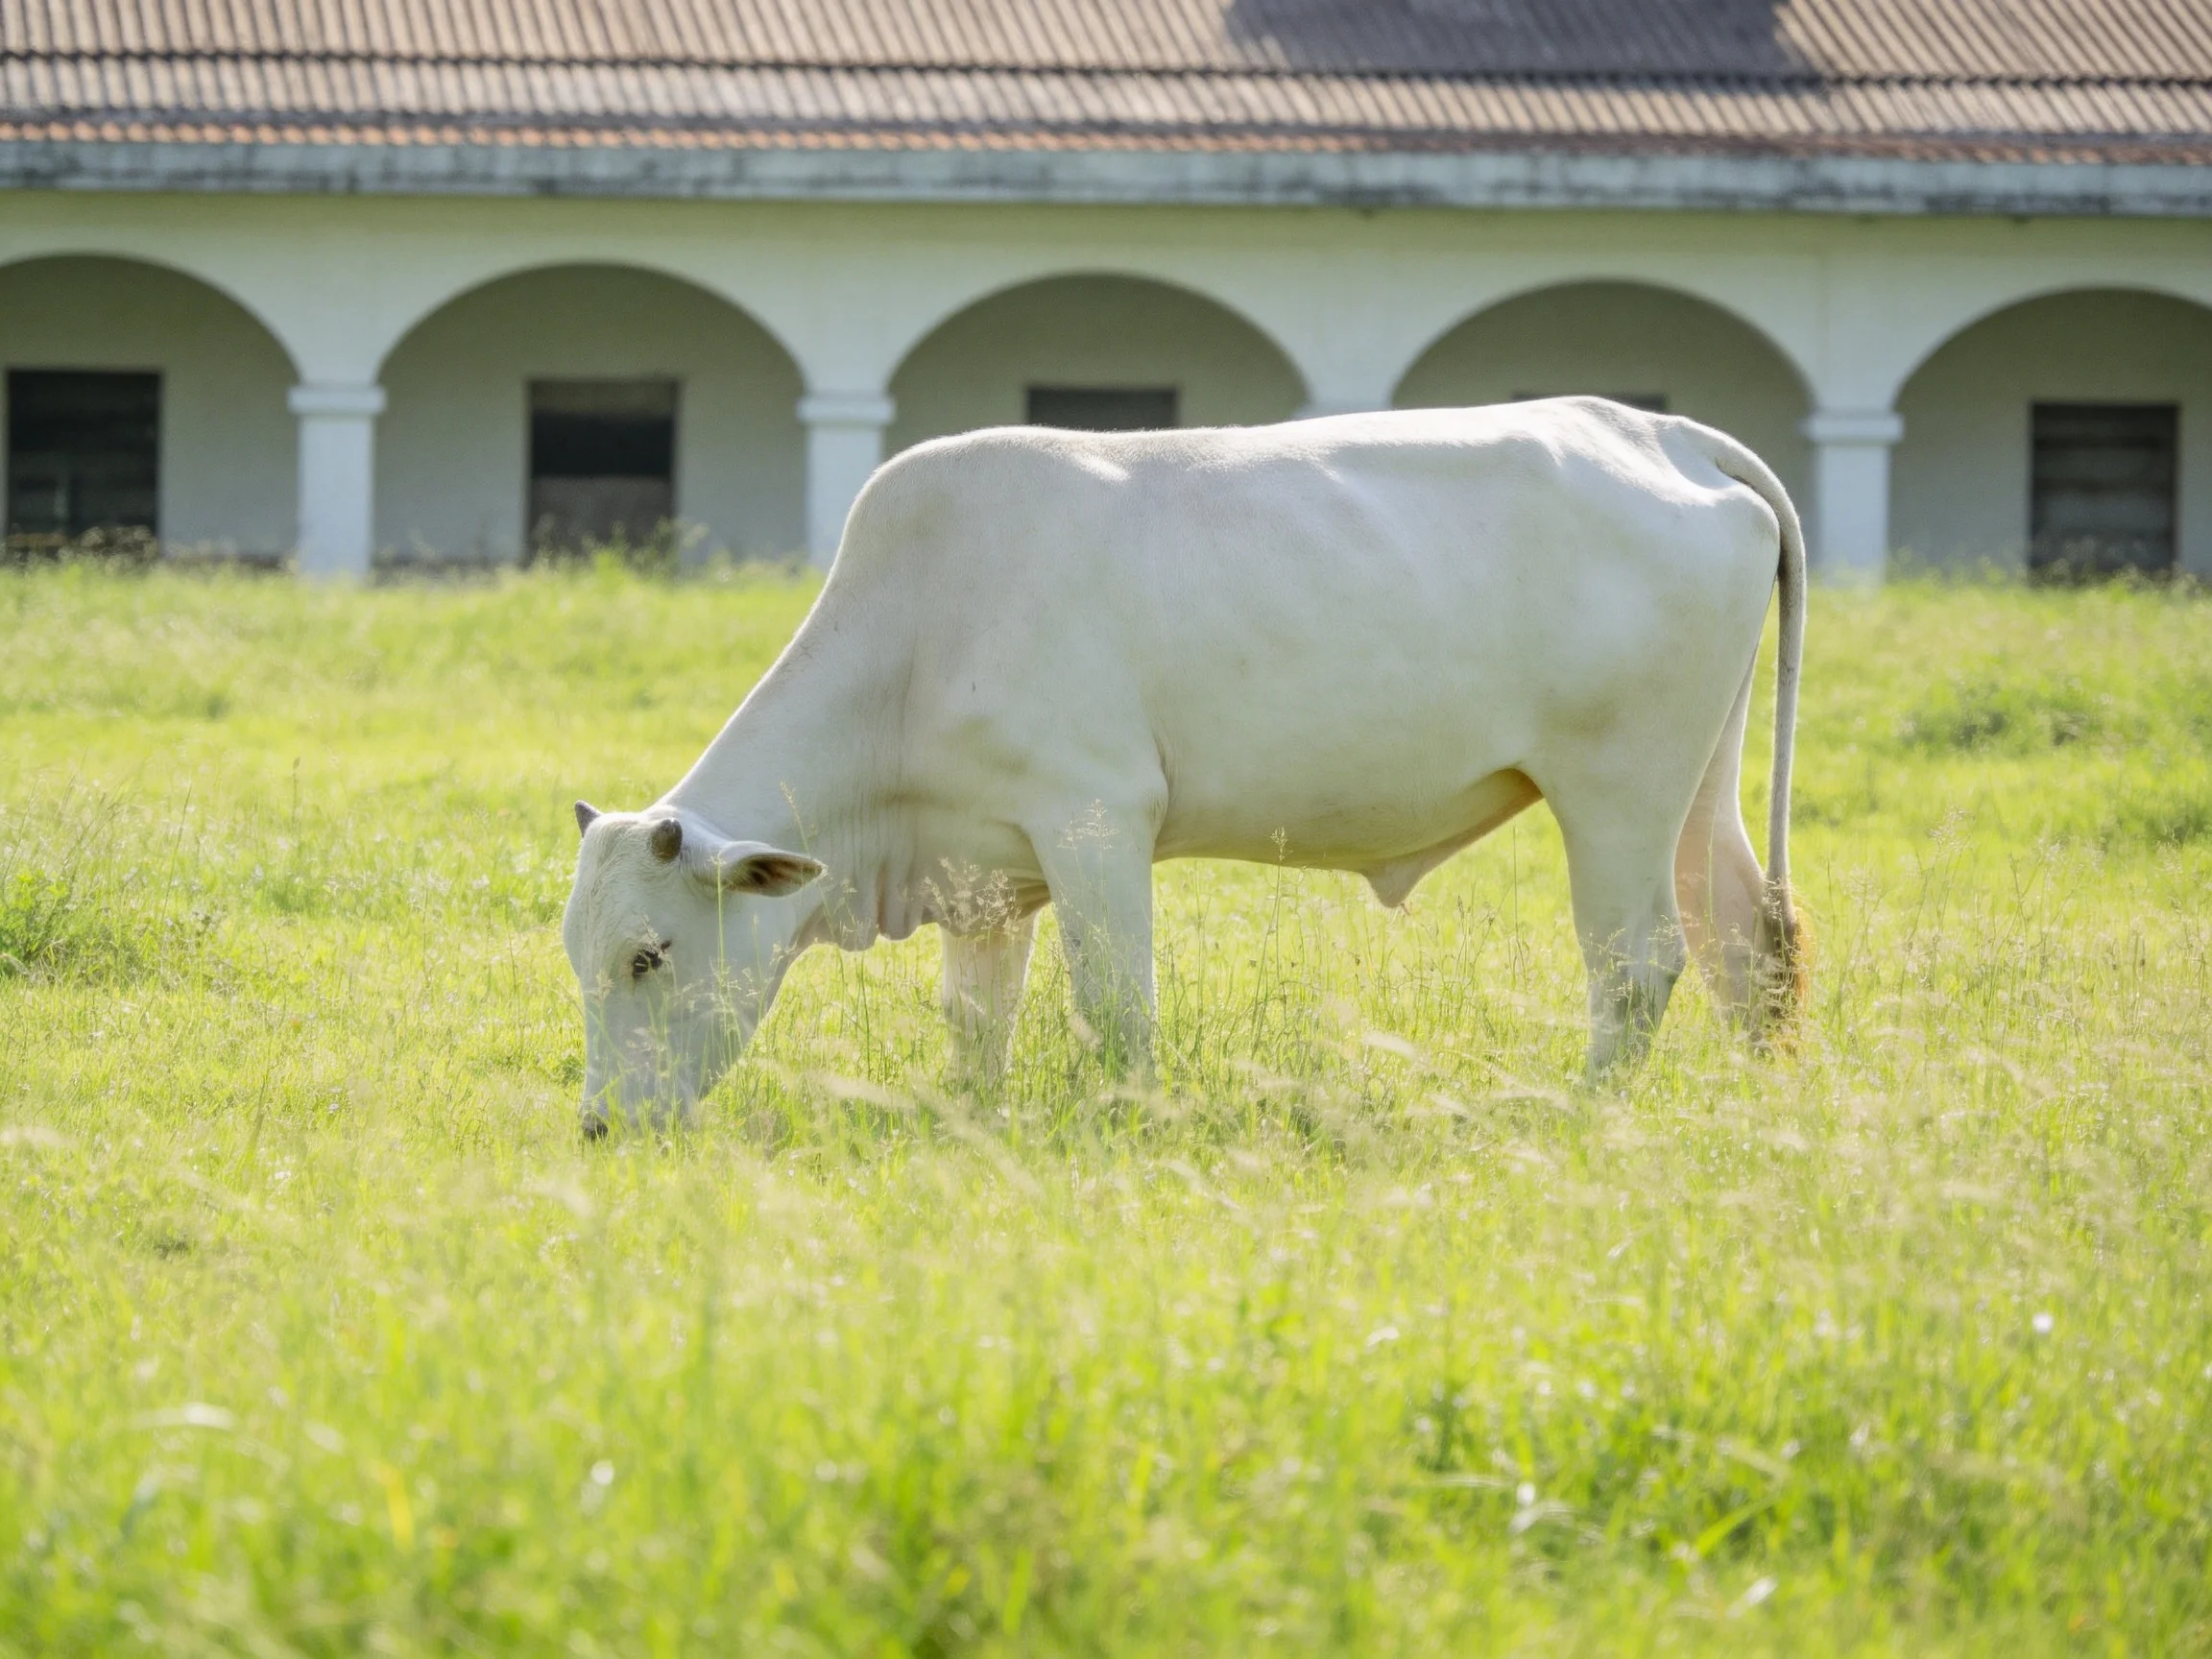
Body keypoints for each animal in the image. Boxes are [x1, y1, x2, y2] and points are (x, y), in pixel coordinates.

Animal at [563, 398, 1806, 1133]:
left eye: (649, 955)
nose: (600, 1126)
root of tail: (1658, 430)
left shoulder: (1095, 820)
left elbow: (1117, 1006)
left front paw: (1129, 1125)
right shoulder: (982, 875)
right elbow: (976, 1023)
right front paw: (974, 1120)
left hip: (1617, 788)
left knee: (1640, 962)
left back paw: (1583, 1115)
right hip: (1698, 788)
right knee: (1748, 944)